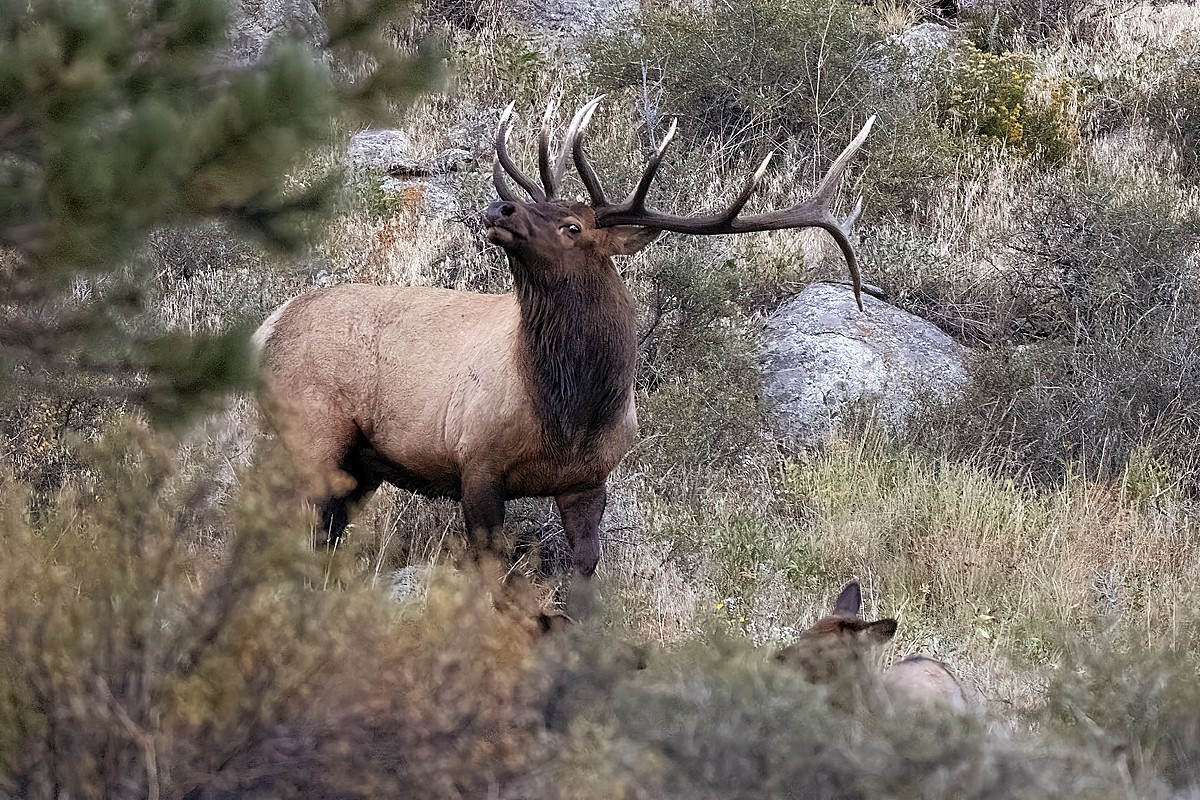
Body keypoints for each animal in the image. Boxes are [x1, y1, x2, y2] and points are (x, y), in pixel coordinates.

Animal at [255, 98, 873, 575]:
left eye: (572, 225)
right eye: (538, 204)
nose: (499, 205)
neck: (570, 413)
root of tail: (269, 325)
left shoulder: (589, 479)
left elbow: (584, 569)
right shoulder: (476, 461)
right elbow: (491, 569)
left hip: (359, 464)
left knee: (323, 532)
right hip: (310, 430)